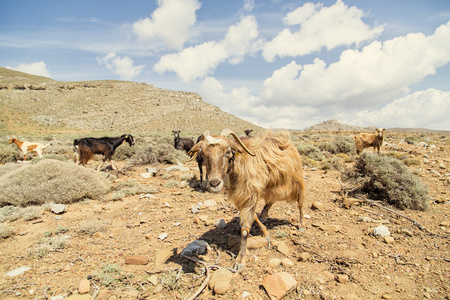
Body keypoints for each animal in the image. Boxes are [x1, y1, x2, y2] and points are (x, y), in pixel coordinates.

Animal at [186, 128, 306, 270]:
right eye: (203, 153)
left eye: (227, 152)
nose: (214, 183)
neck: (240, 163)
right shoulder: (243, 197)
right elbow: (253, 216)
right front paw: (265, 233)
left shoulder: (250, 194)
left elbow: (245, 229)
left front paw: (240, 260)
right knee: (271, 200)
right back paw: (264, 214)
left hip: (296, 180)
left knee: (300, 203)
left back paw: (302, 225)